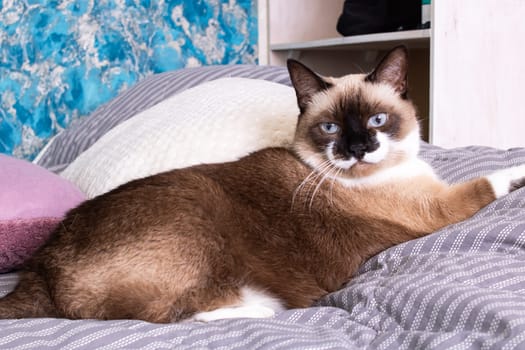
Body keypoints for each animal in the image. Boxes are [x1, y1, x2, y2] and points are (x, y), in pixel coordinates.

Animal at [1, 45, 524, 322]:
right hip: (197, 216)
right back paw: (267, 306)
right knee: (172, 313)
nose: (358, 149)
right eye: (331, 128)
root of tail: (42, 267)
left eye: (377, 120)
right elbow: (485, 182)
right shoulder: (437, 209)